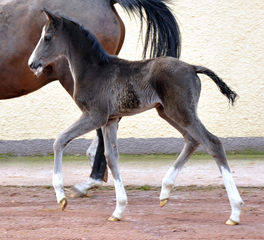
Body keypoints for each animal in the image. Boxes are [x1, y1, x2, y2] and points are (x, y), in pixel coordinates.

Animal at [28, 10, 243, 225]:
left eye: (47, 37)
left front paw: (61, 199)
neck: (94, 70)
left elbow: (60, 140)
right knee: (192, 140)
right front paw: (118, 210)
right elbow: (111, 157)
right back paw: (165, 191)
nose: (32, 64)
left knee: (212, 142)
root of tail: (192, 67)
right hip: (167, 112)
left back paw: (235, 211)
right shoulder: (110, 119)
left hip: (181, 111)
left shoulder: (95, 116)